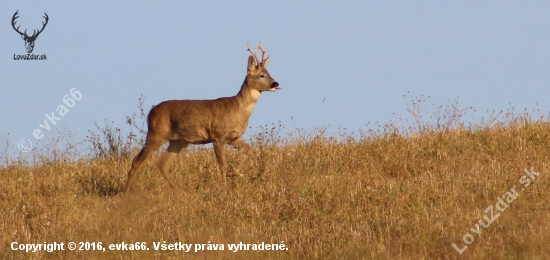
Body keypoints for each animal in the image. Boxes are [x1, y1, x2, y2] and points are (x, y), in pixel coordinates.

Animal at [124, 41, 280, 192]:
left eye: (269, 72)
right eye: (261, 75)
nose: (276, 83)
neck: (239, 109)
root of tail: (151, 112)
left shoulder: (234, 137)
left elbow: (250, 150)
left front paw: (235, 172)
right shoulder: (217, 136)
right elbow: (222, 165)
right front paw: (224, 188)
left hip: (177, 141)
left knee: (162, 163)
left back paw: (180, 191)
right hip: (157, 134)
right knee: (136, 161)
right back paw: (126, 192)